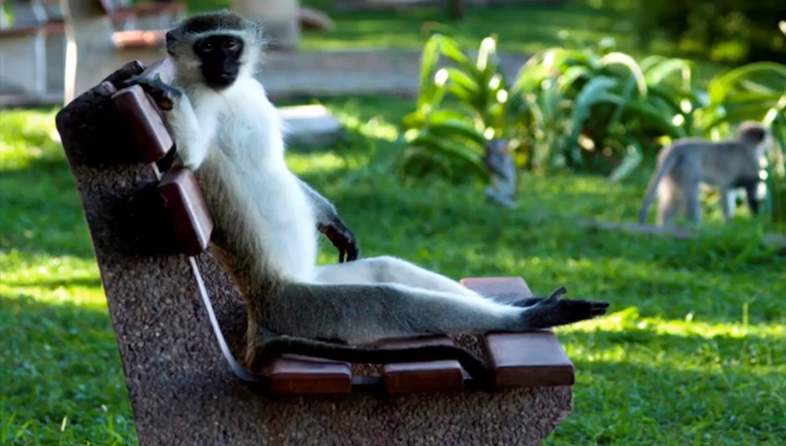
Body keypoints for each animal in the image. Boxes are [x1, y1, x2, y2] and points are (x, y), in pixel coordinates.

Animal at [125, 11, 608, 373]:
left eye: (229, 46)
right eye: (207, 48)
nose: (223, 66)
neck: (224, 92)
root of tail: (259, 315)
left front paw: (333, 221)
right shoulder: (199, 104)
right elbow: (188, 159)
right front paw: (163, 95)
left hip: (318, 284)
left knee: (386, 269)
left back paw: (522, 304)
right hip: (302, 307)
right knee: (385, 299)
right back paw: (531, 315)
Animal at [639, 122, 771, 227]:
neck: (745, 144)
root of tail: (675, 148)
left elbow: (730, 191)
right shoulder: (750, 163)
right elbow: (748, 192)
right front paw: (745, 221)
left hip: (673, 173)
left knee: (672, 199)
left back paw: (666, 227)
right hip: (687, 168)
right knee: (690, 195)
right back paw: (695, 226)